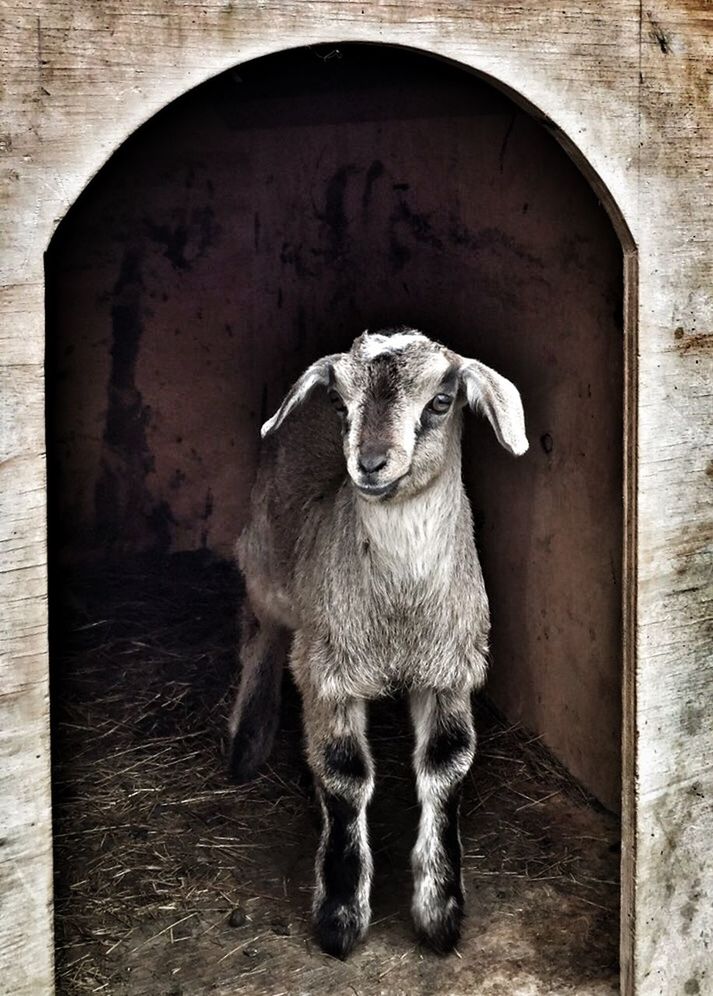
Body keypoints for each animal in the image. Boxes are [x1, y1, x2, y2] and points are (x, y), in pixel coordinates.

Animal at [229, 326, 528, 956]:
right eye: (341, 404)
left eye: (441, 401)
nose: (368, 464)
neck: (398, 610)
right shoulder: (327, 673)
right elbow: (344, 776)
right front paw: (340, 916)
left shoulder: (451, 669)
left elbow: (447, 766)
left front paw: (440, 914)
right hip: (265, 552)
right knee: (260, 629)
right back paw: (247, 743)